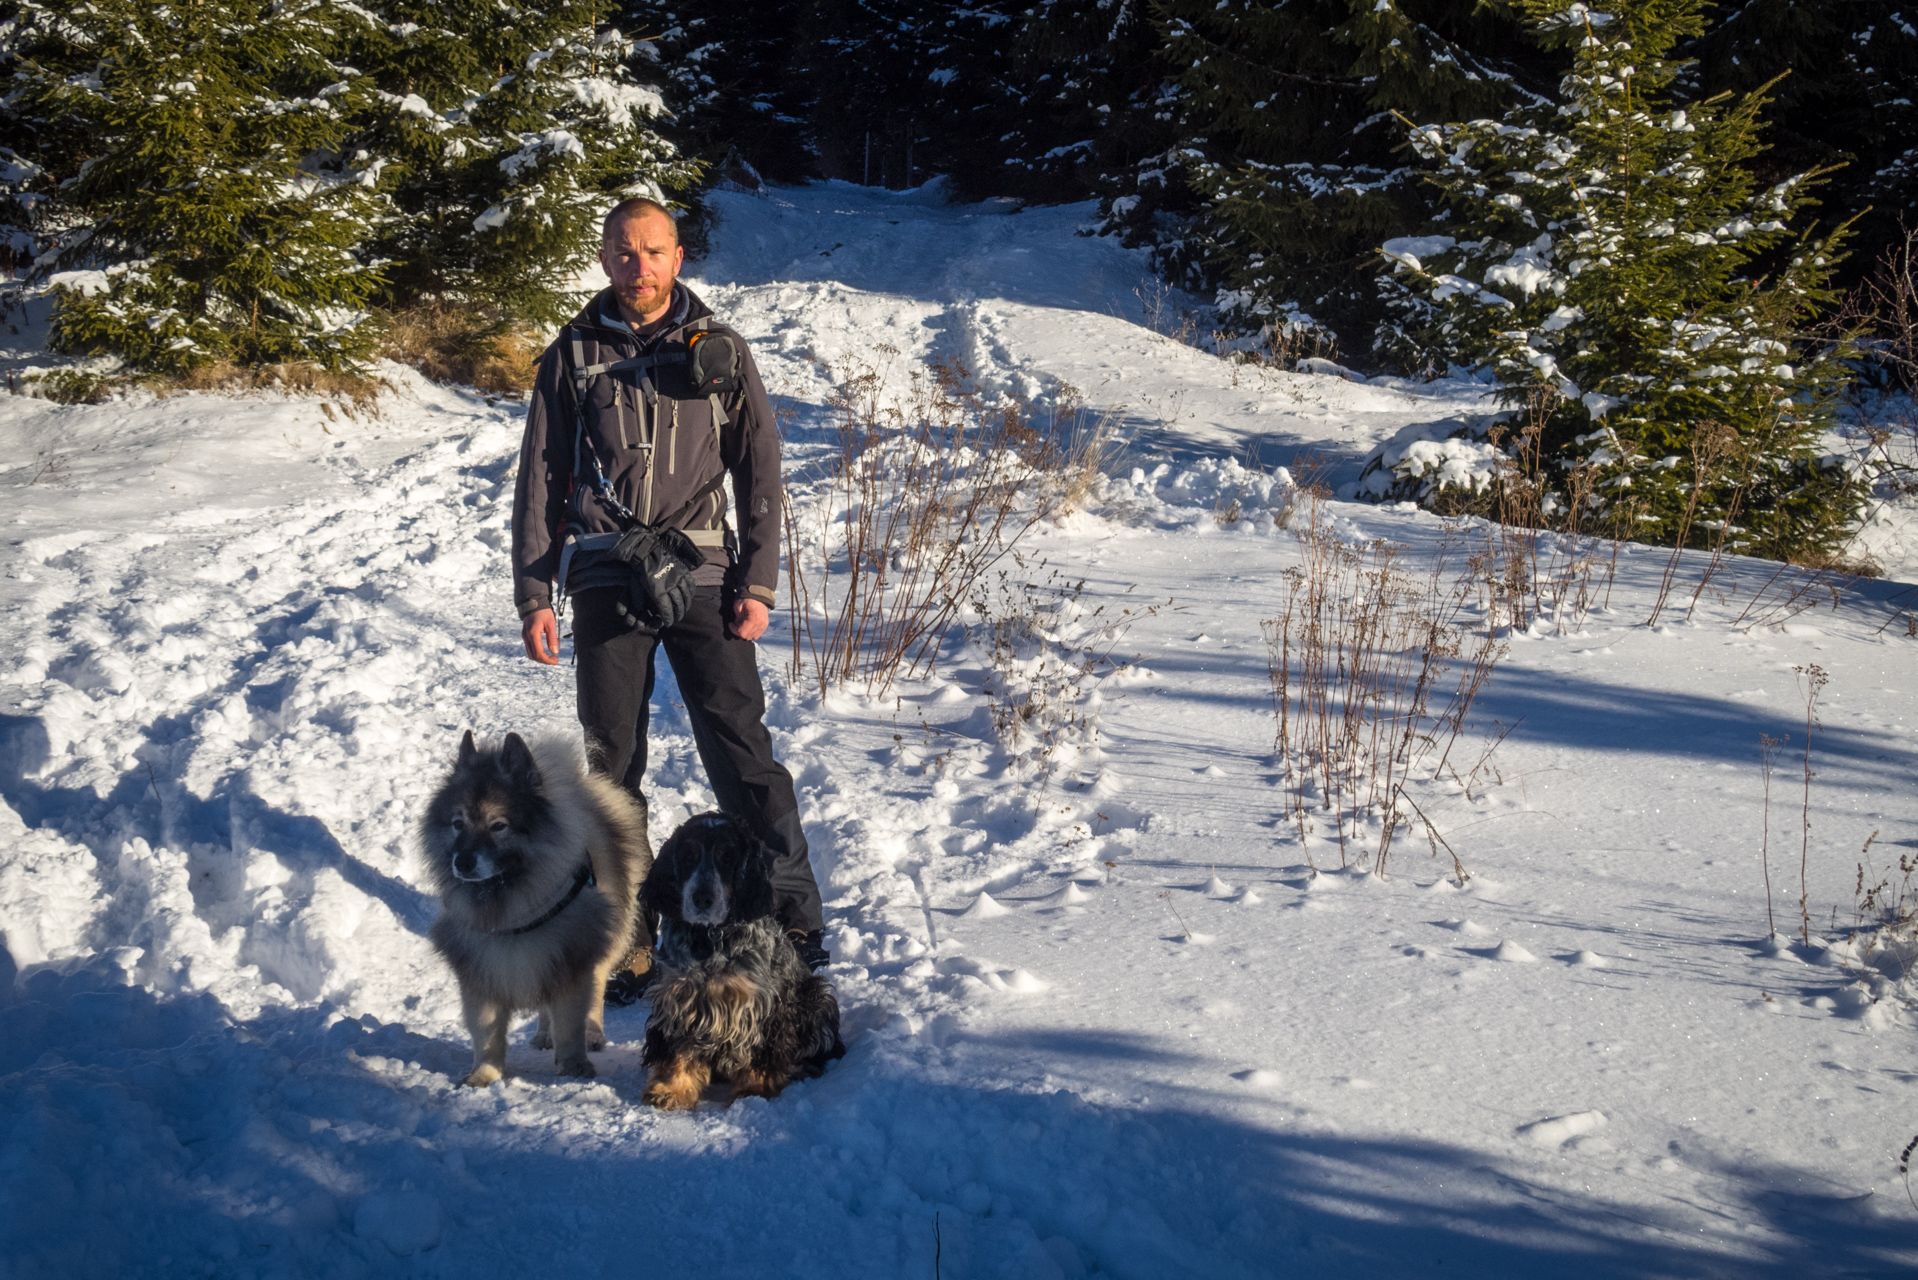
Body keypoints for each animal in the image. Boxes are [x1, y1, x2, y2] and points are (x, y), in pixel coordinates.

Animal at [420, 736, 652, 1090]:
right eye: (458, 824)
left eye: (498, 825)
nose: (463, 861)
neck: (511, 904)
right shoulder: (484, 964)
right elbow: (487, 1031)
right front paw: (484, 1073)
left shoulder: (571, 954)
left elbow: (571, 1020)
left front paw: (573, 1065)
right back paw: (544, 1035)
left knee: (596, 988)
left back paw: (592, 1034)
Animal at [640, 817, 843, 1105]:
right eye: (689, 855)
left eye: (728, 858)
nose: (702, 898)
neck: (709, 939)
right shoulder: (677, 998)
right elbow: (676, 1051)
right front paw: (670, 1089)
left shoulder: (760, 1005)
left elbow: (759, 1053)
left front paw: (753, 1091)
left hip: (816, 997)